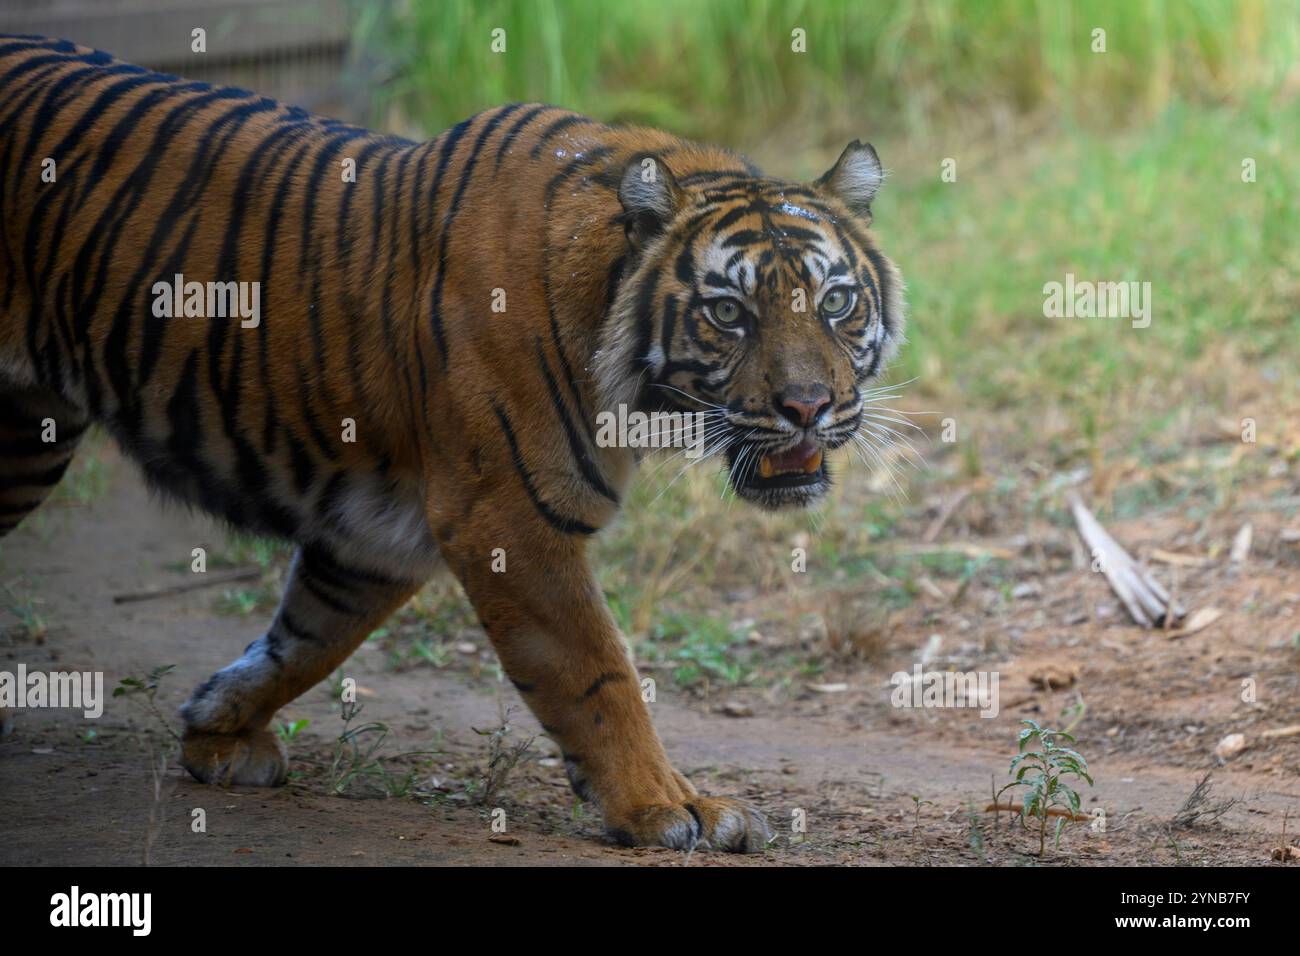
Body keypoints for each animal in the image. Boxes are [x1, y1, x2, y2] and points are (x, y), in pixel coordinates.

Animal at [0, 35, 904, 853]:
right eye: (728, 313)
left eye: (835, 302)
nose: (809, 407)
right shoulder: (505, 518)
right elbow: (597, 672)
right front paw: (667, 807)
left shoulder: (371, 537)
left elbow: (301, 644)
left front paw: (215, 732)